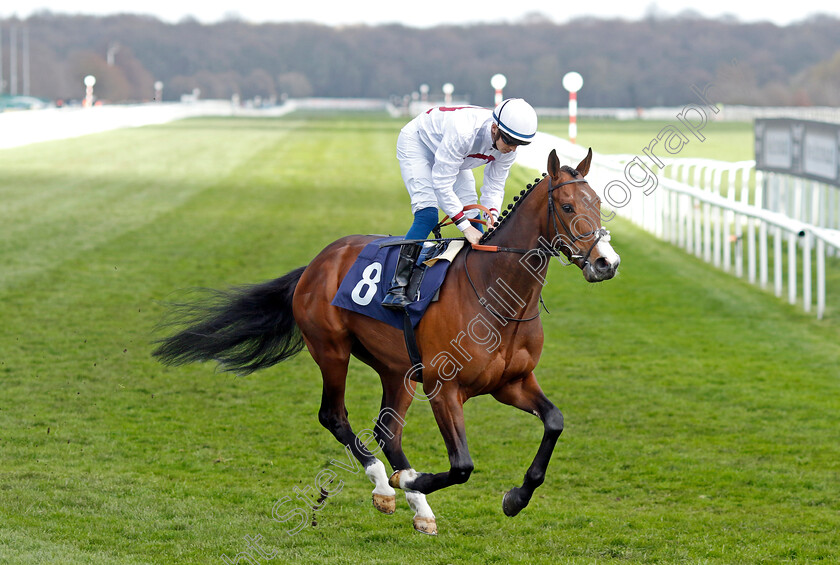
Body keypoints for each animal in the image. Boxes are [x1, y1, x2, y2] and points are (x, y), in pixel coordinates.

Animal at [154, 145, 620, 532]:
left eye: (599, 204)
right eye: (566, 205)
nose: (606, 262)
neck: (495, 292)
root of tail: (316, 262)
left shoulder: (512, 383)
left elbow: (554, 422)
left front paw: (516, 497)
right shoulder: (443, 387)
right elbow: (462, 465)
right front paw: (413, 480)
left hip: (397, 370)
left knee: (386, 430)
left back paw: (417, 508)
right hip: (332, 350)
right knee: (335, 417)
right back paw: (385, 484)